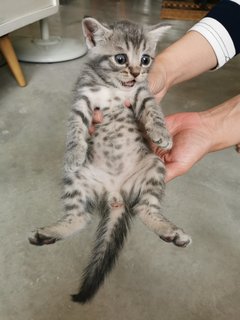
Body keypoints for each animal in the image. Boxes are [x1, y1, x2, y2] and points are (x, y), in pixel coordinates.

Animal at [29, 17, 191, 302]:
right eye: (120, 58)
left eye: (146, 59)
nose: (136, 72)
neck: (112, 88)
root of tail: (116, 195)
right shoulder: (83, 99)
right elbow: (75, 127)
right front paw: (74, 151)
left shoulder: (141, 93)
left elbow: (152, 109)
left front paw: (162, 134)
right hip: (77, 178)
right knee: (81, 217)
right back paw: (48, 234)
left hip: (154, 166)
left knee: (144, 208)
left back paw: (170, 232)